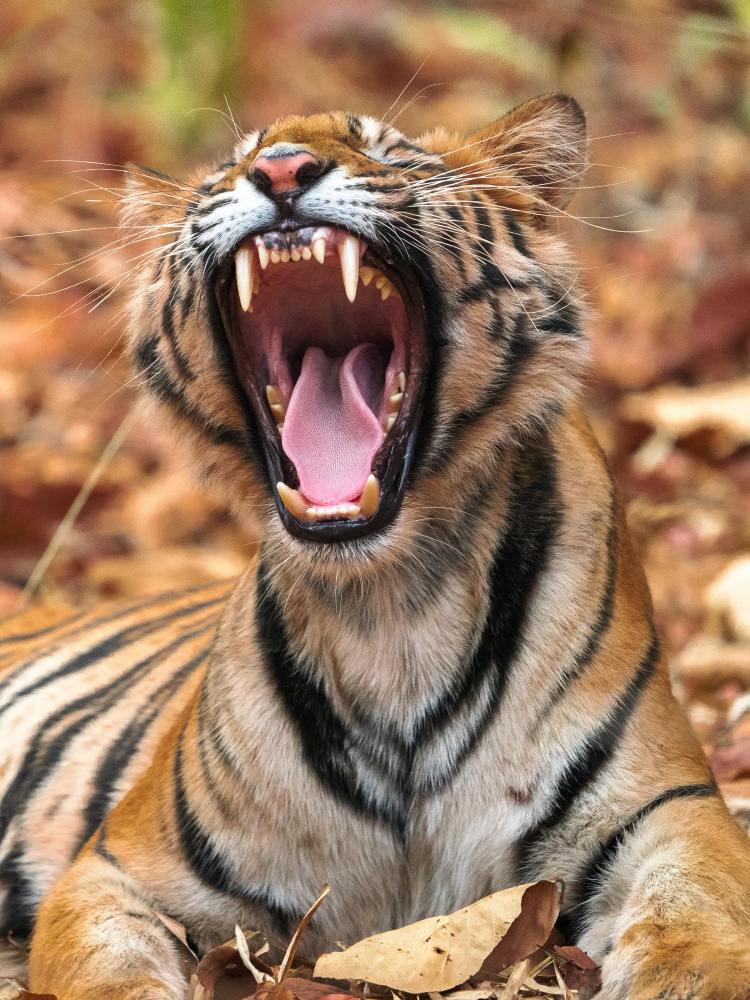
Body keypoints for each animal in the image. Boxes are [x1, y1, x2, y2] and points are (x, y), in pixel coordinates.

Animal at [1, 93, 750, 1000]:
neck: (391, 610)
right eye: (232, 162)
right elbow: (109, 968)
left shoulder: (670, 810)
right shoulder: (118, 866)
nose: (281, 170)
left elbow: (694, 907)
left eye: (385, 148)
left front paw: (695, 975)